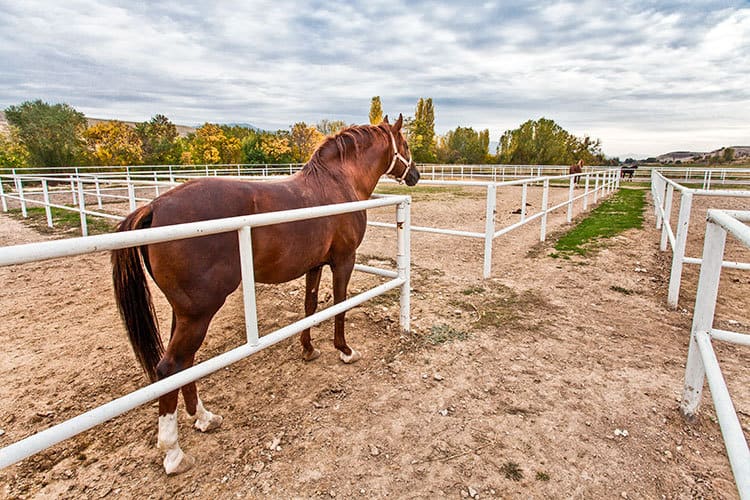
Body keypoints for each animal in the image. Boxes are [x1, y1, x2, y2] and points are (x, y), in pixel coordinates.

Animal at [111, 115, 420, 474]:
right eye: (405, 144)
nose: (415, 175)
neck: (338, 183)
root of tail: (155, 208)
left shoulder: (314, 265)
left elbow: (310, 307)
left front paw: (309, 350)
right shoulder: (344, 261)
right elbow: (340, 306)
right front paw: (345, 351)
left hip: (184, 313)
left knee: (184, 365)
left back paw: (204, 418)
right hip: (198, 313)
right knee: (169, 368)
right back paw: (173, 452)